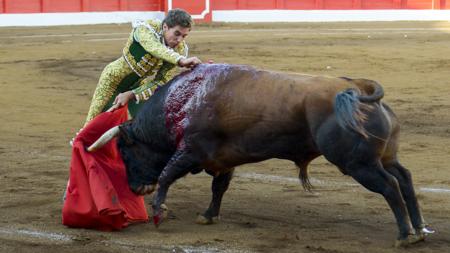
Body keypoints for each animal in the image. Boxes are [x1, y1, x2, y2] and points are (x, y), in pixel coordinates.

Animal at [87, 63, 432, 247]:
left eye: (125, 152)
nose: (134, 189)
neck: (184, 100)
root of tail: (359, 87)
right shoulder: (223, 159)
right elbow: (219, 187)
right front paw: (208, 215)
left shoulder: (191, 151)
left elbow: (167, 174)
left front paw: (159, 211)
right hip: (383, 157)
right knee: (405, 179)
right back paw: (418, 229)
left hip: (358, 164)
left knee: (390, 186)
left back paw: (404, 235)